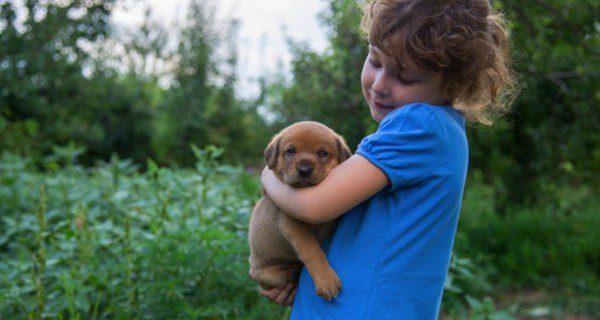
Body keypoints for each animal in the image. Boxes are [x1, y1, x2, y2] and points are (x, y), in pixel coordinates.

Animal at [247, 121, 352, 302]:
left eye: (323, 153)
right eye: (290, 151)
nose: (304, 170)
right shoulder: (293, 224)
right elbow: (313, 251)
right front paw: (326, 281)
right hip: (264, 272)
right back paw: (292, 272)